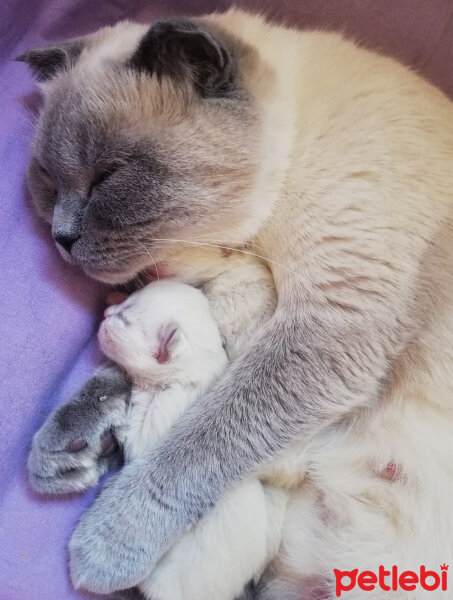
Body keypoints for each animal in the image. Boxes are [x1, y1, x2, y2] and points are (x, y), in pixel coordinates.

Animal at [21, 9, 452, 600]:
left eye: (109, 175)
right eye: (46, 179)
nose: (61, 237)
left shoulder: (329, 326)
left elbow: (201, 439)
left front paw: (104, 545)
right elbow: (128, 372)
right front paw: (67, 451)